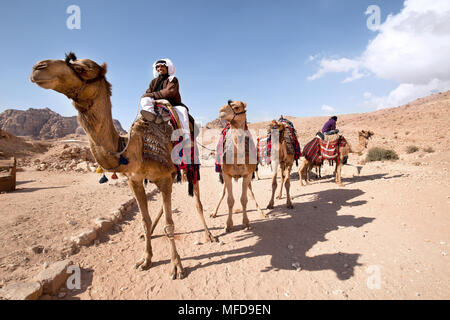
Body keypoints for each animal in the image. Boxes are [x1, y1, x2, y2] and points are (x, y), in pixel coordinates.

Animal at [30, 53, 216, 278]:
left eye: (83, 68)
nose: (38, 67)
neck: (133, 147)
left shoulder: (163, 177)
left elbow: (170, 224)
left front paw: (177, 266)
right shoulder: (135, 180)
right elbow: (144, 220)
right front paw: (145, 259)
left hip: (190, 165)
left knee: (197, 201)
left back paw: (209, 235)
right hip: (169, 175)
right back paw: (151, 233)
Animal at [210, 100, 266, 232]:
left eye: (236, 107)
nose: (221, 111)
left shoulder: (247, 174)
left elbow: (244, 199)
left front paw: (246, 222)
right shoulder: (226, 174)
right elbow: (229, 200)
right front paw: (228, 225)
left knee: (251, 192)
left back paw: (261, 211)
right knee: (222, 193)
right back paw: (214, 212)